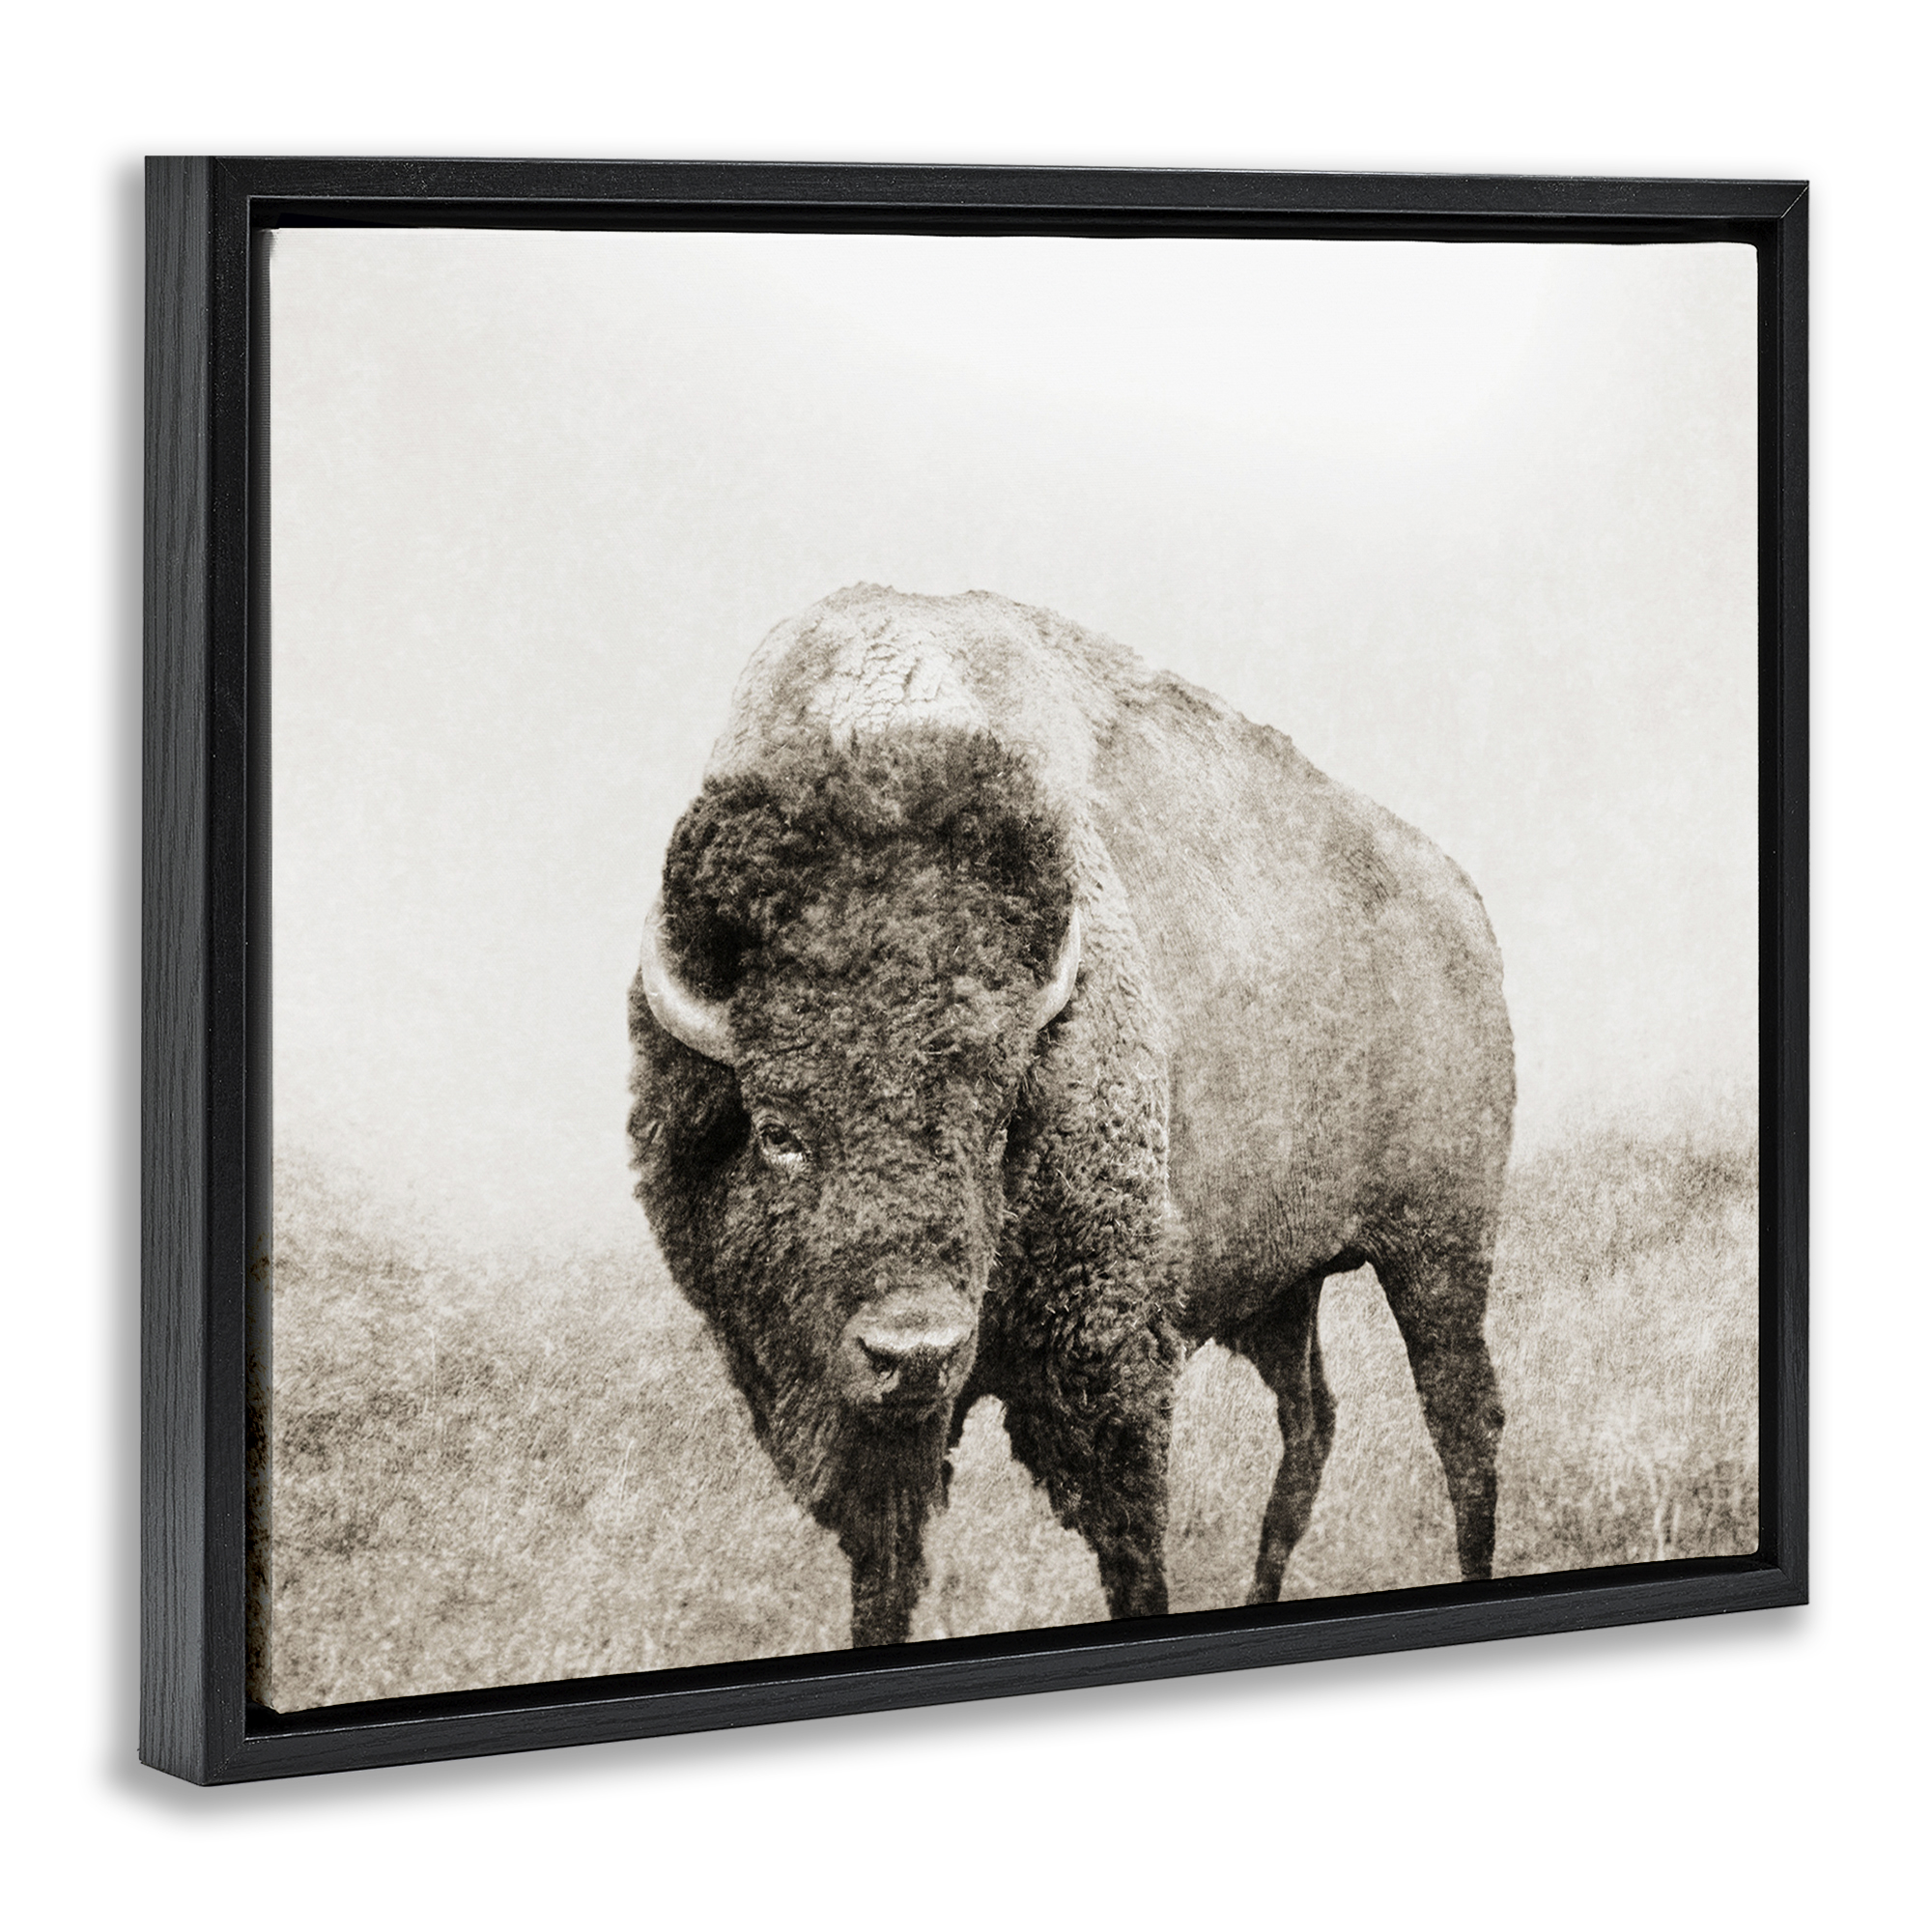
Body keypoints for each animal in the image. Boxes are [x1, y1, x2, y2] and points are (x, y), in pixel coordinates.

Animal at [629, 585, 1514, 1647]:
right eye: (779, 1133)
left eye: (998, 1118)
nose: (915, 1351)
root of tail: (1460, 899)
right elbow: (884, 1572)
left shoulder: (1106, 1365)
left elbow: (1129, 1546)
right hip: (1284, 1287)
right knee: (1311, 1424)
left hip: (1437, 1247)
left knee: (1462, 1420)